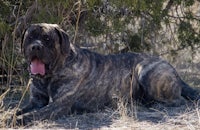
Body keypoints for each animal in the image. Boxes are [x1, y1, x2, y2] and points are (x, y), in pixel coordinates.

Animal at [16, 23, 200, 125]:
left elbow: (34, 114)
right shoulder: (36, 100)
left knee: (178, 100)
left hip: (143, 69)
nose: (35, 47)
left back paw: (156, 105)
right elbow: (20, 109)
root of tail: (171, 67)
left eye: (47, 39)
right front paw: (14, 115)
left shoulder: (58, 105)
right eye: (30, 37)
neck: (49, 76)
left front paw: (17, 121)